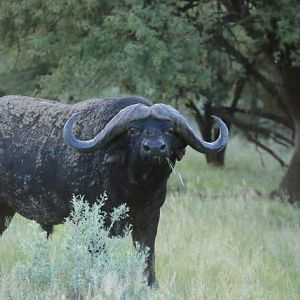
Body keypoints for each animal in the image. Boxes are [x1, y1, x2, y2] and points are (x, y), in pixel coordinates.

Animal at [0, 95, 227, 284]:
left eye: (169, 130)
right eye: (134, 130)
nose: (155, 148)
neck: (134, 189)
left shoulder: (149, 218)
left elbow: (147, 256)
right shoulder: (92, 222)